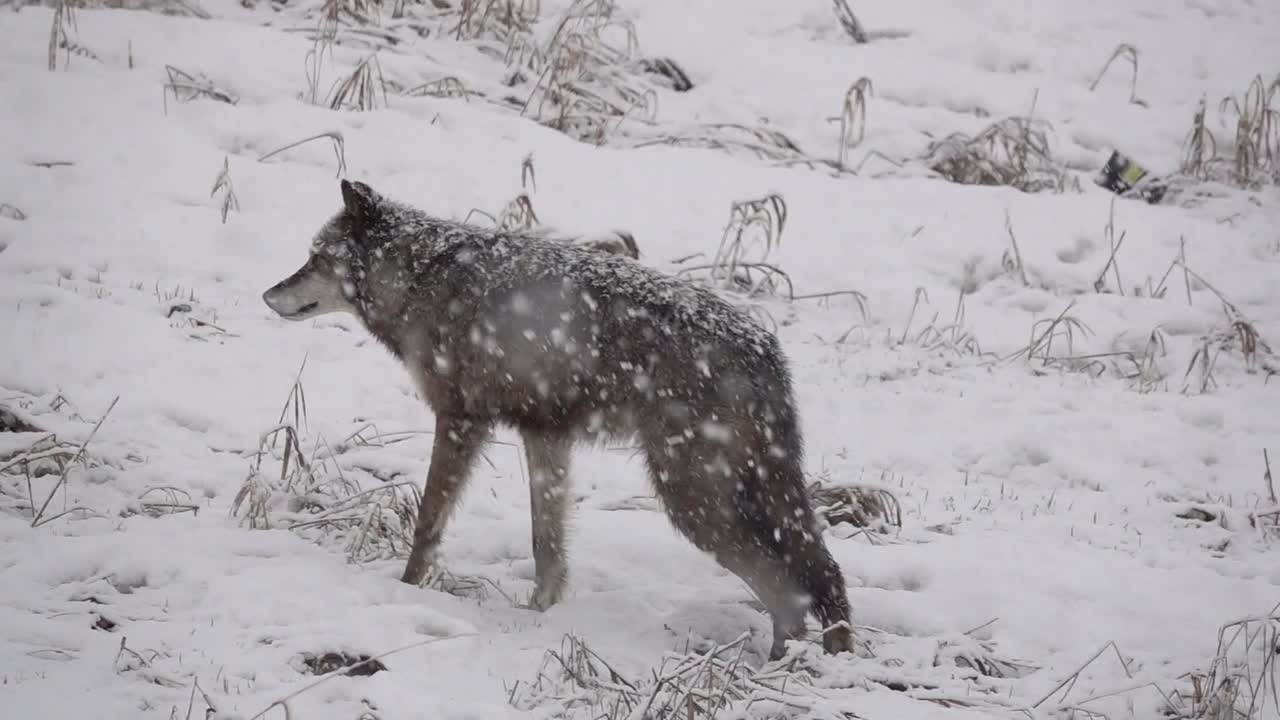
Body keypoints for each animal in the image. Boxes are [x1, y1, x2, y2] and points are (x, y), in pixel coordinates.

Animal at [262, 180, 854, 660]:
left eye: (316, 257)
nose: (268, 294)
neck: (423, 277)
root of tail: (766, 350)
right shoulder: (544, 436)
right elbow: (546, 545)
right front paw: (540, 616)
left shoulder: (459, 420)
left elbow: (429, 522)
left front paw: (406, 589)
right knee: (820, 574)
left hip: (693, 502)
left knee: (793, 590)